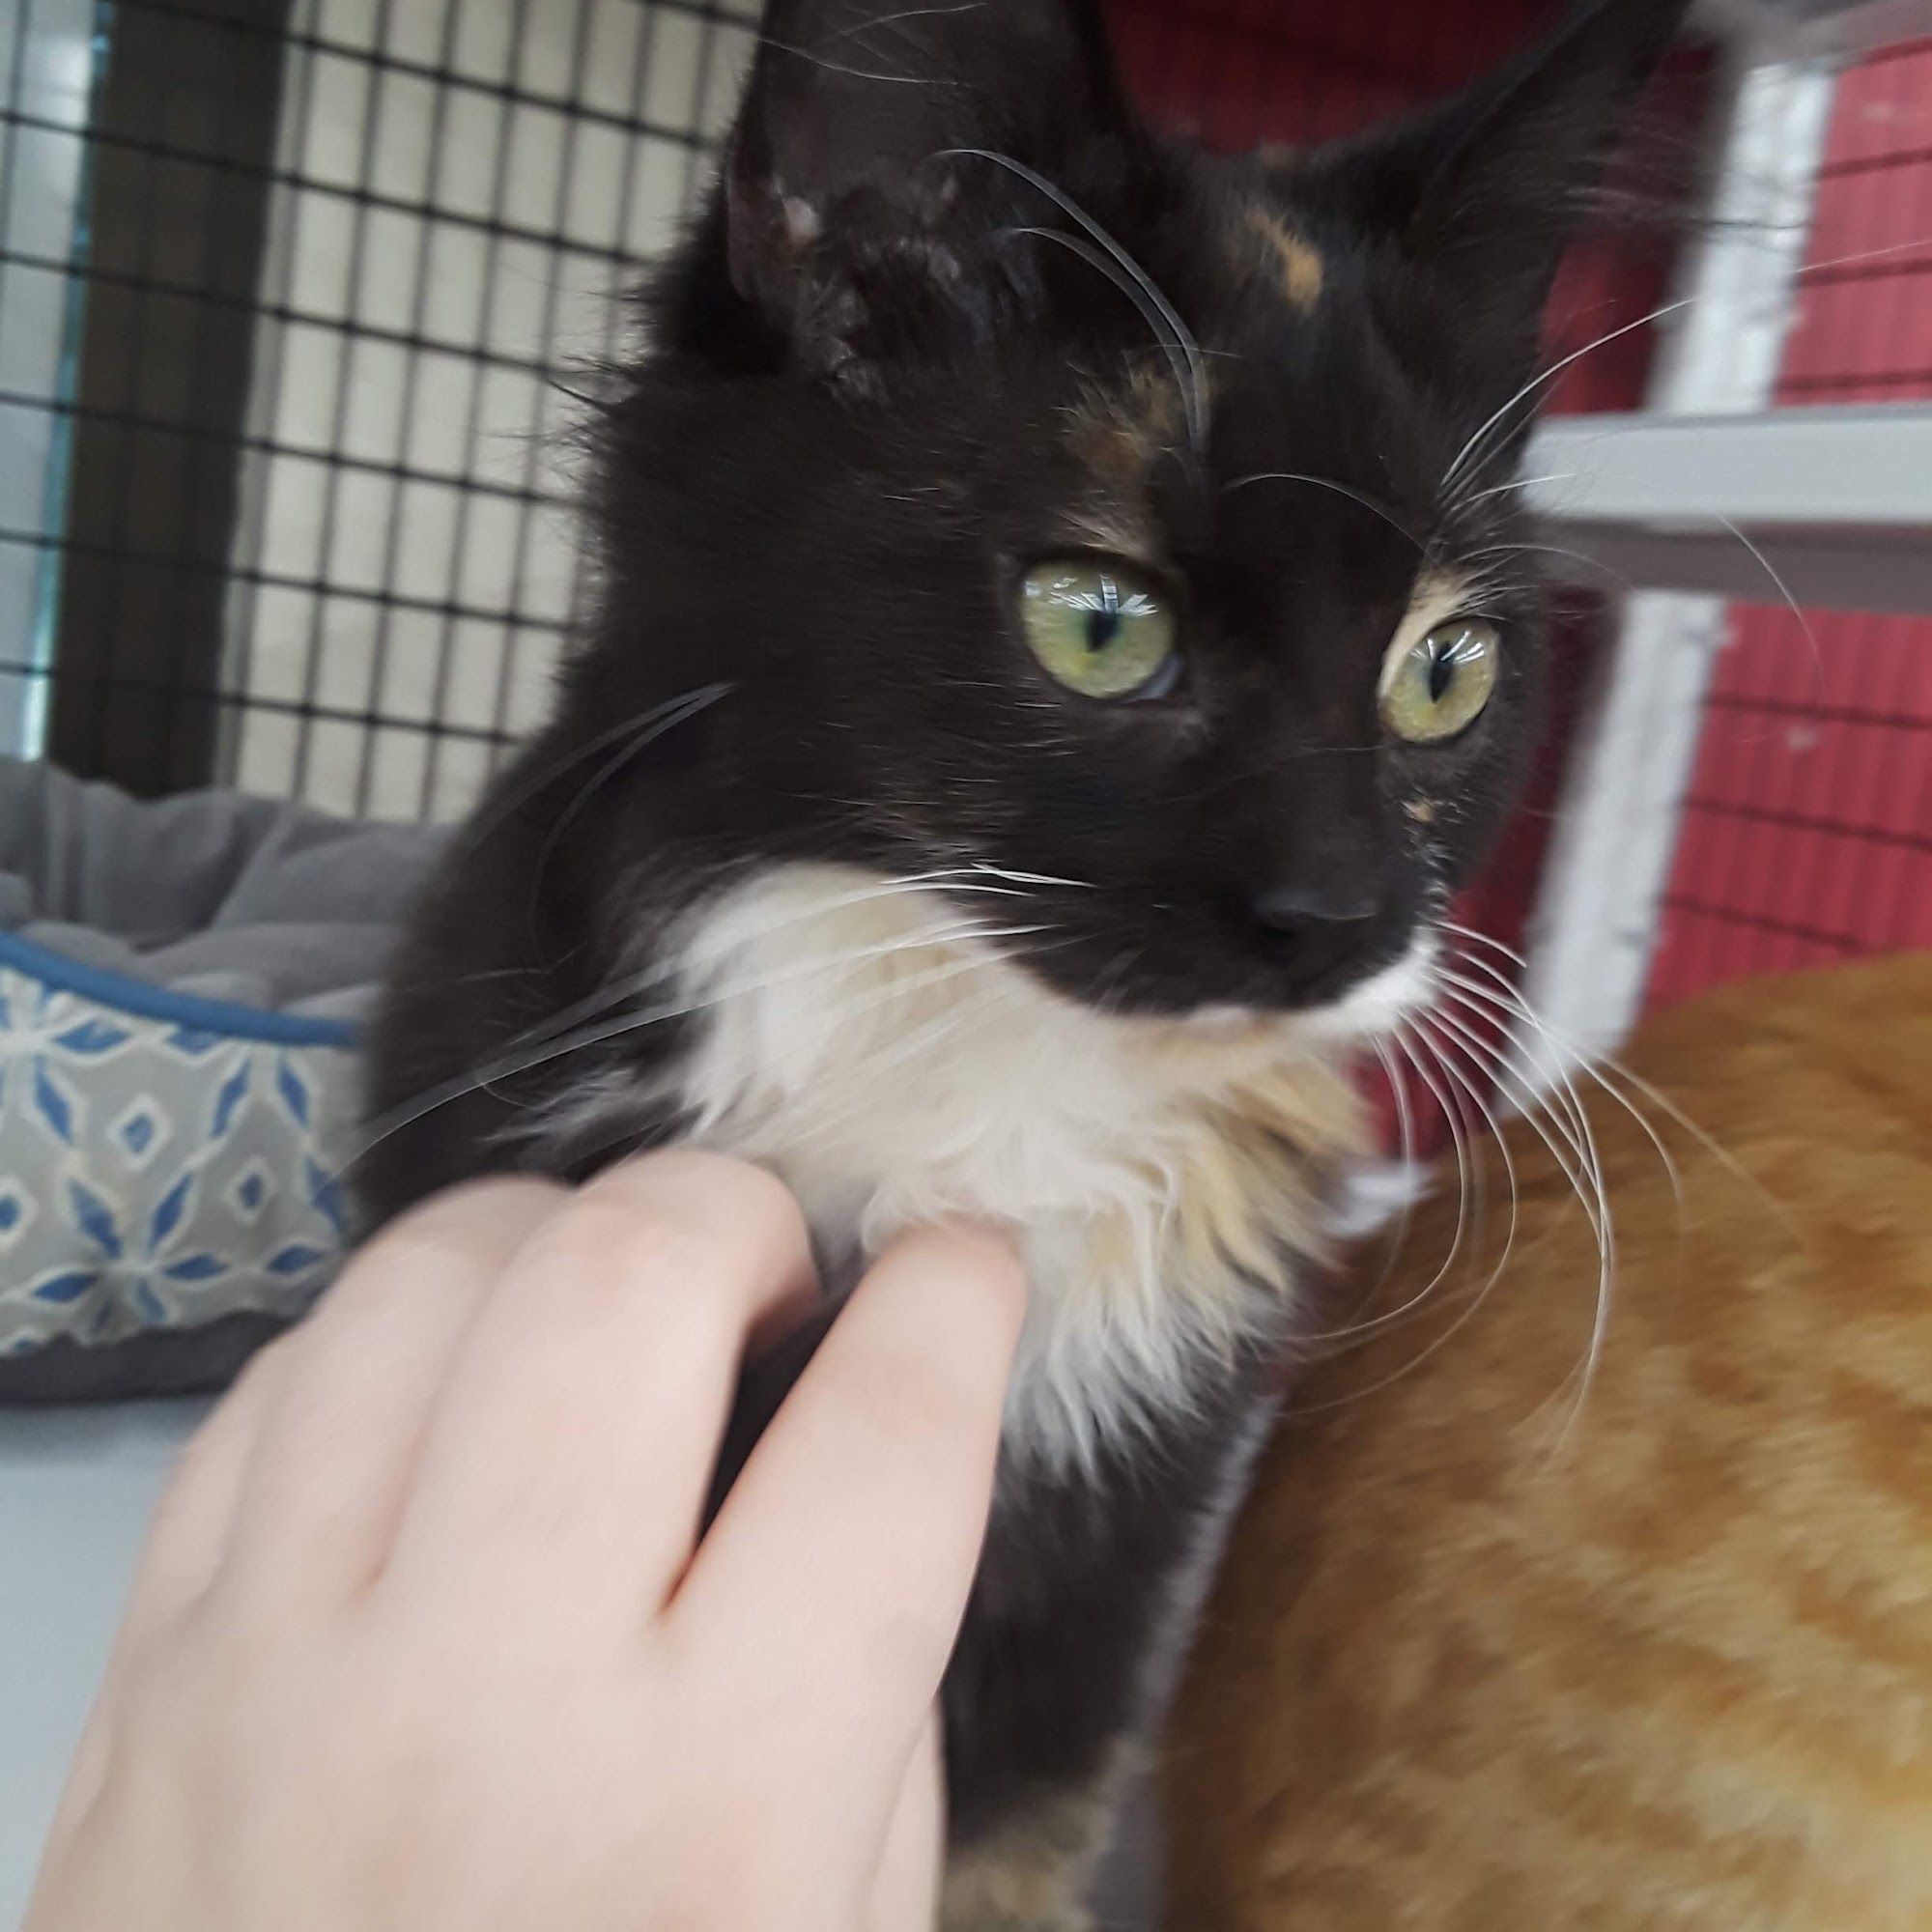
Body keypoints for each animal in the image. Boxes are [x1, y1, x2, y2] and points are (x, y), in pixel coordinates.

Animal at [358, 1, 1693, 1921]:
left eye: (1447, 669)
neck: (970, 1054)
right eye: (1098, 624)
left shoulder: (1120, 1525)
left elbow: (1012, 1822)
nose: (1340, 911)